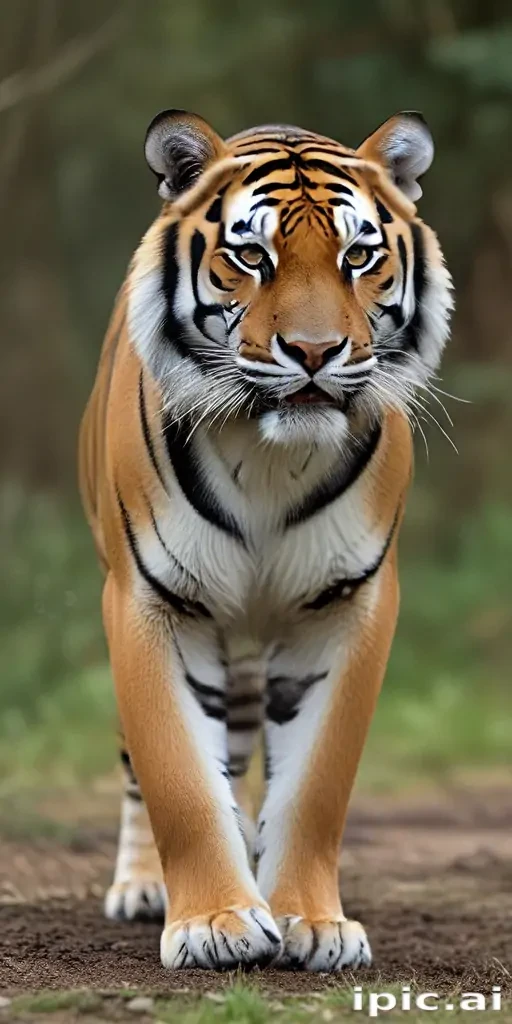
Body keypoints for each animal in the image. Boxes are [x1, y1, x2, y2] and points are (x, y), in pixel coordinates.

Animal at [79, 108, 452, 972]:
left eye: (359, 256)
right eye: (252, 256)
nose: (314, 353)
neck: (270, 456)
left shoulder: (347, 606)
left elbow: (314, 785)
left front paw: (312, 923)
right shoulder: (147, 603)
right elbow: (179, 777)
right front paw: (214, 922)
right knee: (141, 767)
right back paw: (143, 888)